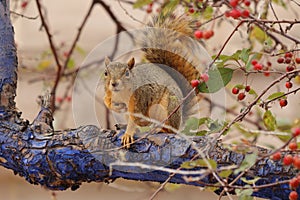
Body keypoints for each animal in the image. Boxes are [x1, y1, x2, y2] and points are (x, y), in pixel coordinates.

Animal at [102, 12, 202, 147]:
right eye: (105, 73)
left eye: (127, 73)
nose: (114, 84)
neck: (121, 93)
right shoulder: (110, 94)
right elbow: (106, 101)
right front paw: (115, 106)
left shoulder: (140, 98)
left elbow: (135, 118)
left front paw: (128, 134)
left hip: (168, 107)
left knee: (170, 129)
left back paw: (159, 129)